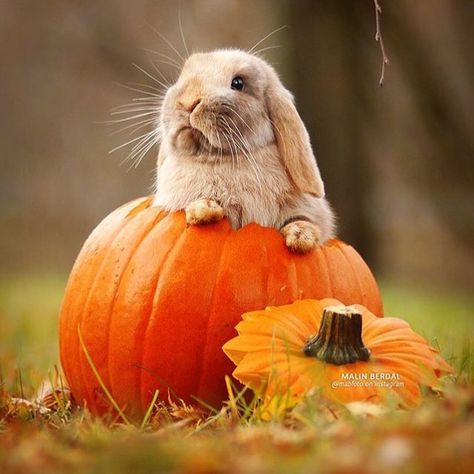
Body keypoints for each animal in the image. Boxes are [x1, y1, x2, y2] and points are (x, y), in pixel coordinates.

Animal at [154, 48, 336, 254]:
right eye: (182, 76)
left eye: (238, 83)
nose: (188, 102)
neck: (217, 159)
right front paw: (203, 210)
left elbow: (303, 220)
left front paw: (301, 238)